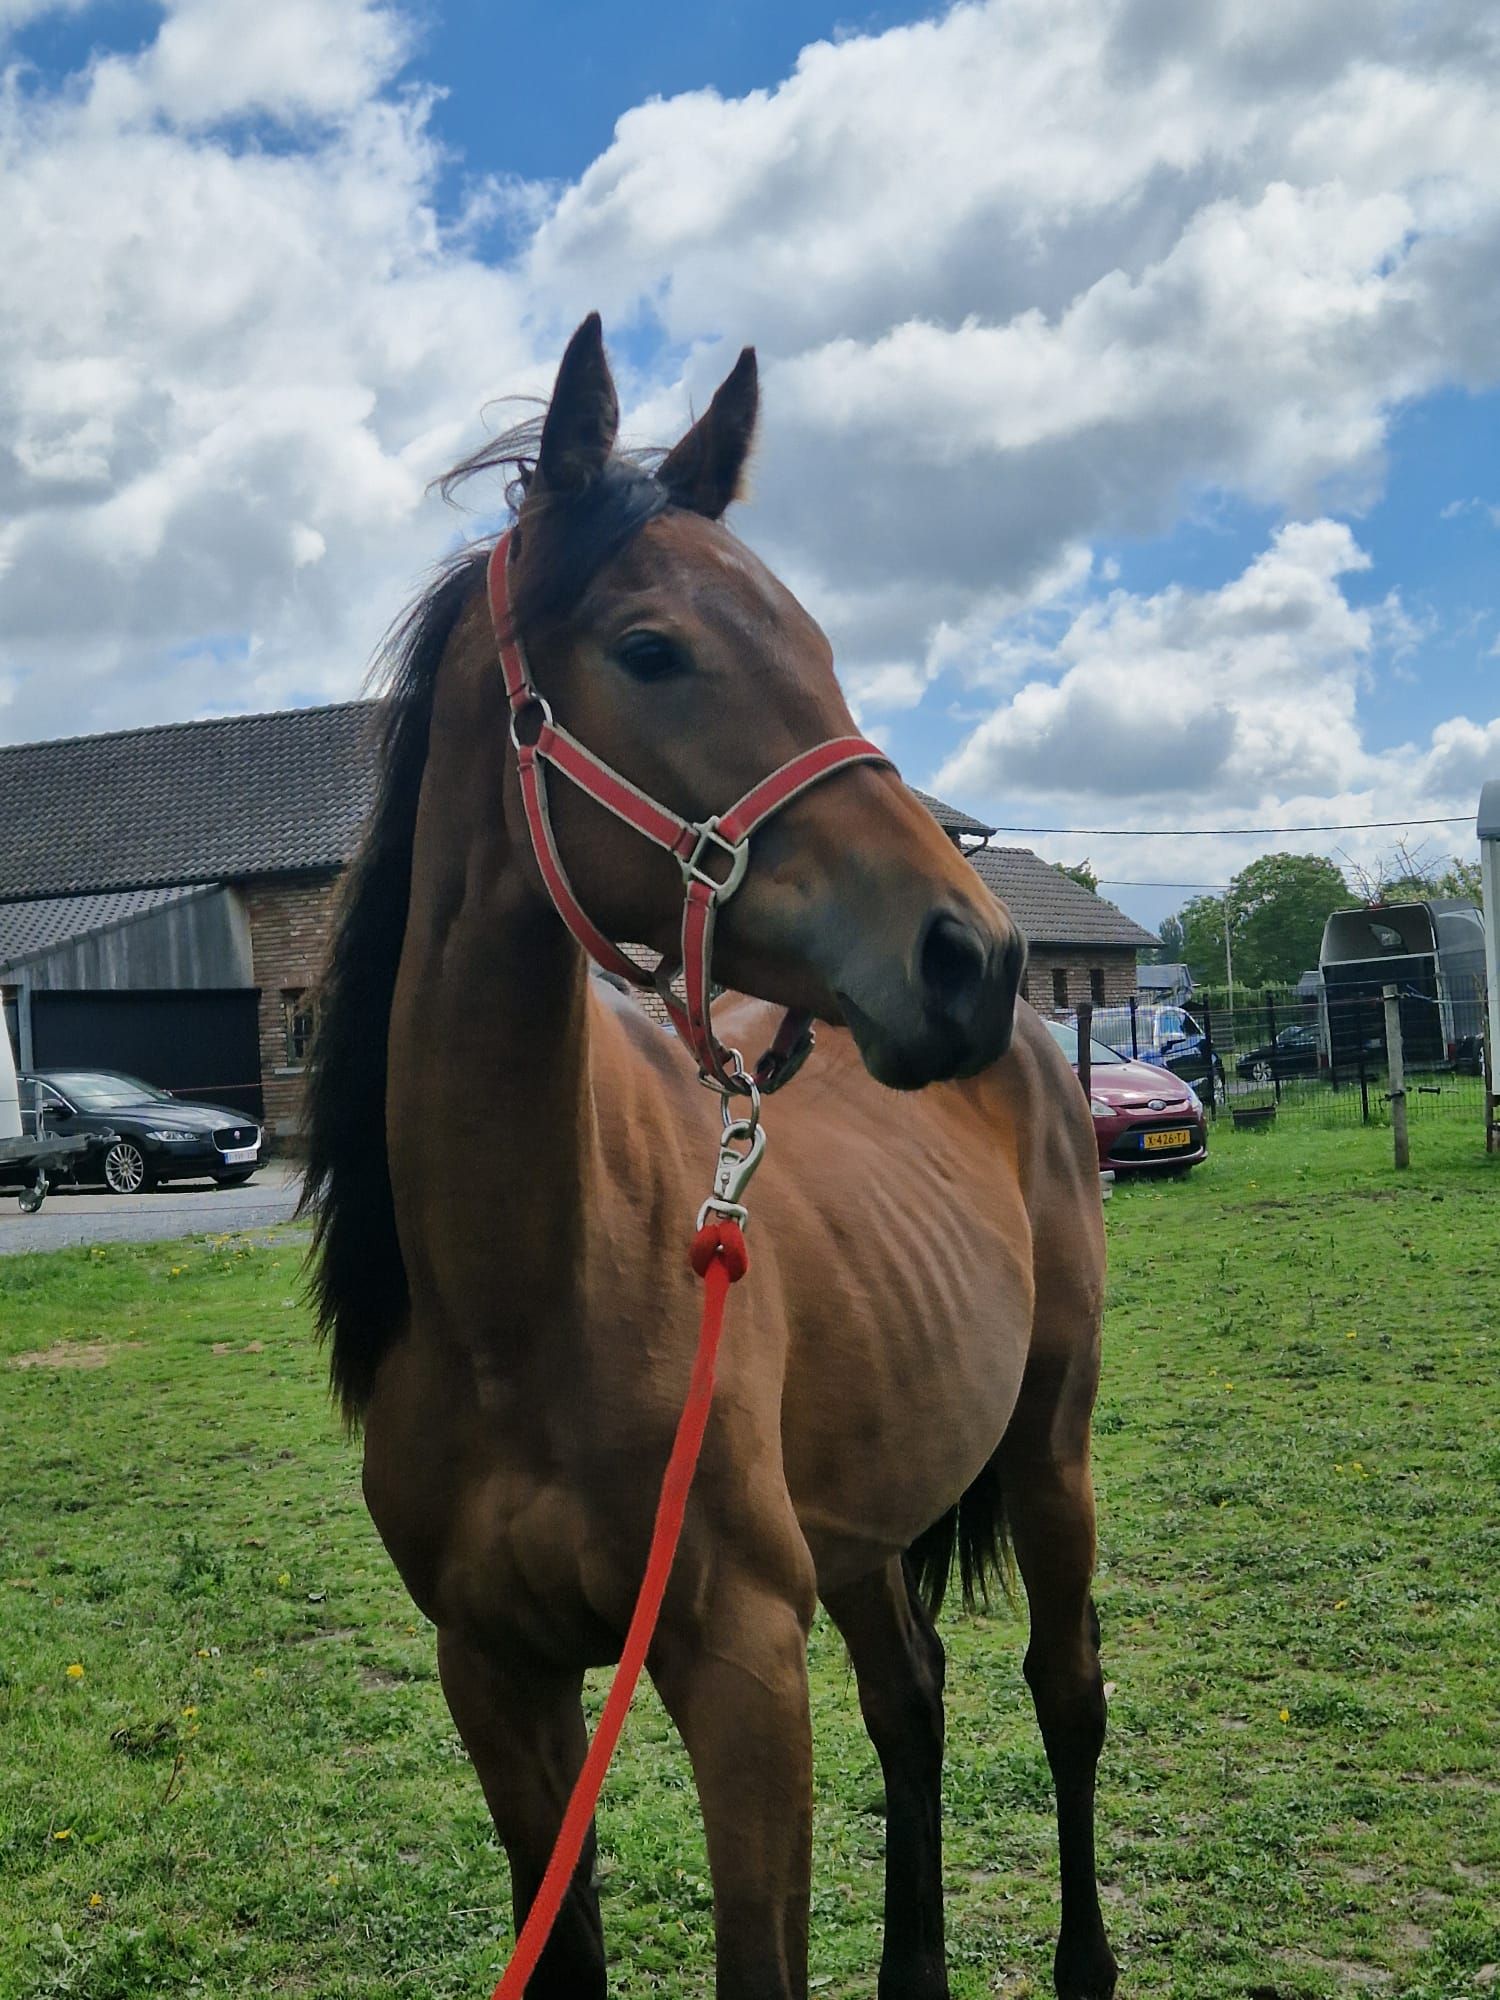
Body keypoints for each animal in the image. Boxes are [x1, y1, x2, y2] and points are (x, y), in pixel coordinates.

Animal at [303, 314, 1117, 2000]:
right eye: (653, 650)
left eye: (815, 642)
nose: (974, 958)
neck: (523, 1299)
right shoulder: (499, 1679)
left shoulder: (740, 1662)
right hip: (866, 1526)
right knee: (915, 1700)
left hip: (1050, 1451)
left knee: (1065, 1694)